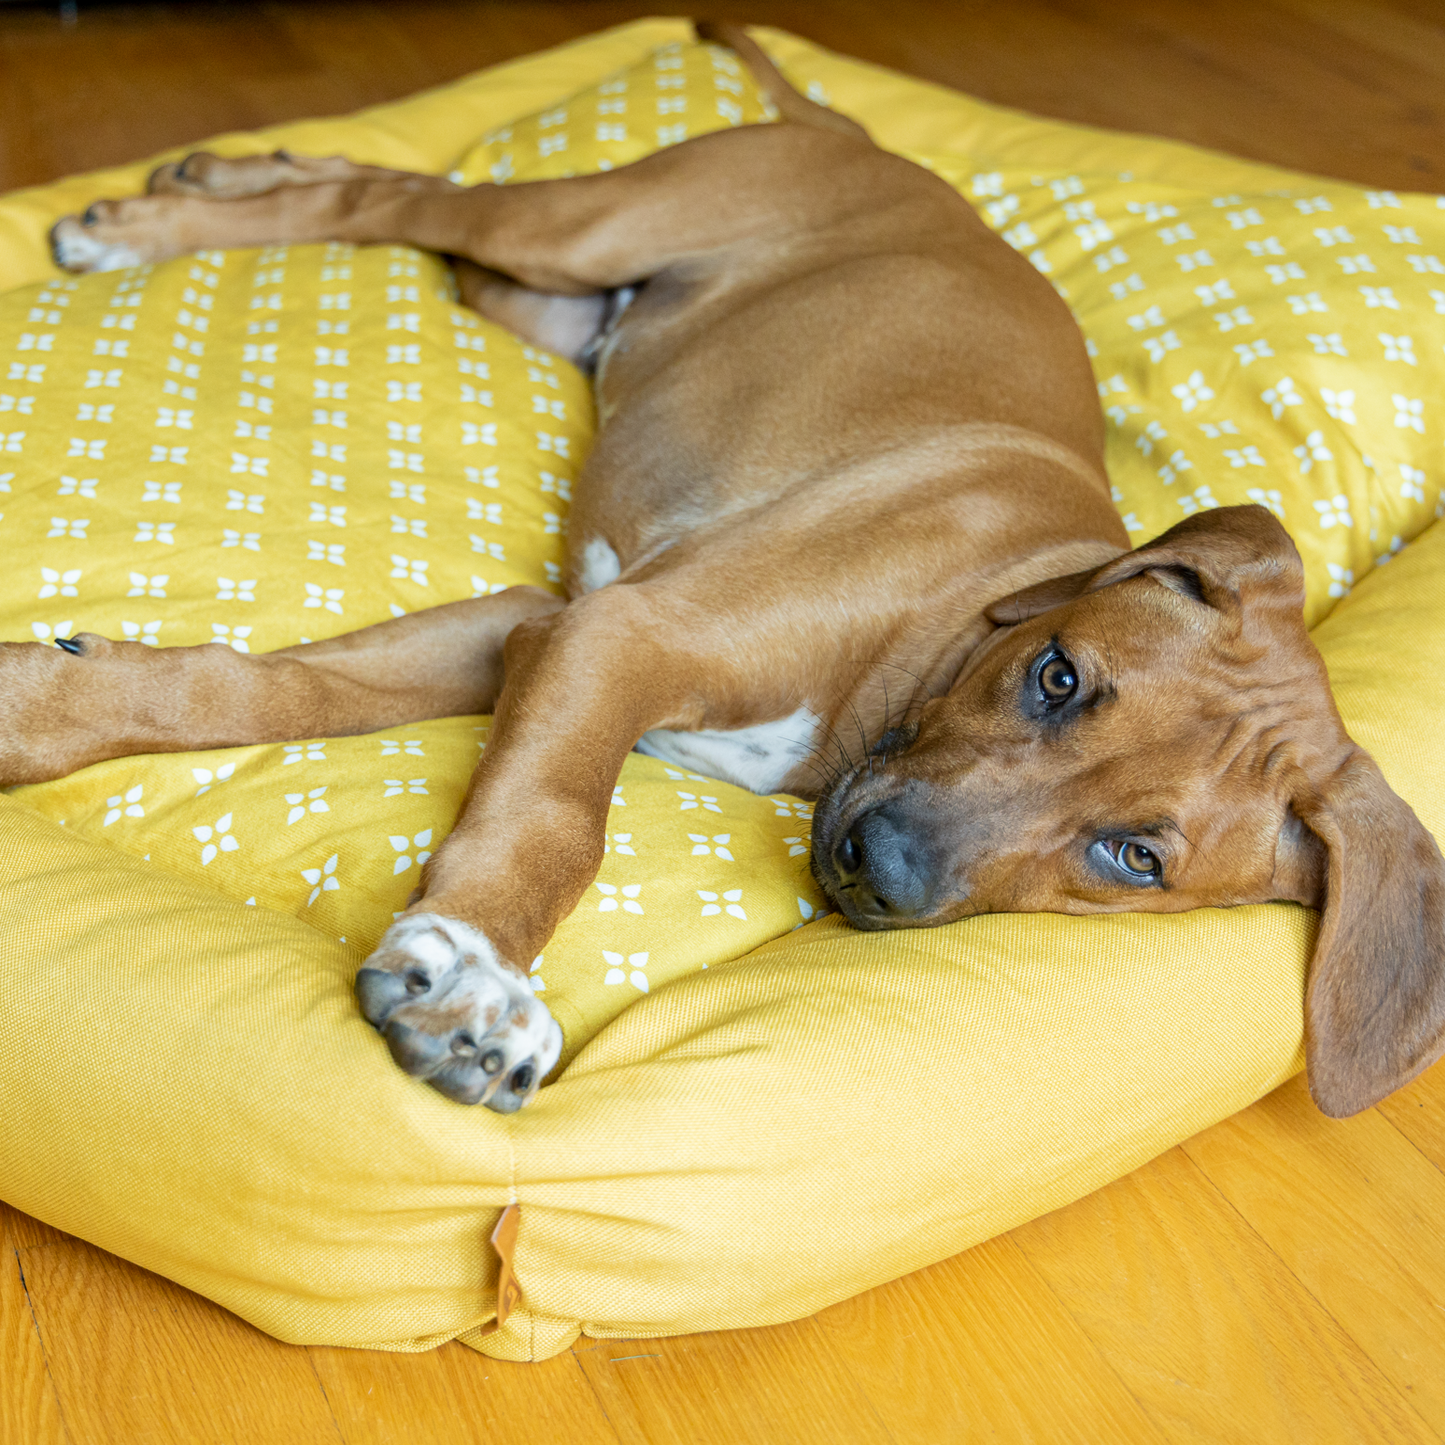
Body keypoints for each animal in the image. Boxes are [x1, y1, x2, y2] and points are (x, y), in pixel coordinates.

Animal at [28, 25, 1445, 1115]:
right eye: (1055, 676)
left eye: (1135, 858)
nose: (879, 868)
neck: (938, 633)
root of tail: (877, 145)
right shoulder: (616, 636)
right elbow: (554, 818)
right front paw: (480, 978)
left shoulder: (544, 621)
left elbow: (276, 690)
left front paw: (42, 707)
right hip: (584, 228)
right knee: (391, 201)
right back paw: (155, 220)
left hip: (537, 299)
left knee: (402, 206)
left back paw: (231, 165)